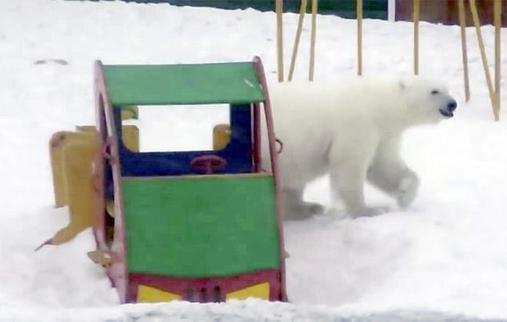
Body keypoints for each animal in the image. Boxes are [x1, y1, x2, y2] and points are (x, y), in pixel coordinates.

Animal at [264, 76, 458, 220]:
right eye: (434, 91)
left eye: (447, 89)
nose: (453, 104)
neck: (379, 105)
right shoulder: (358, 125)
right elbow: (349, 166)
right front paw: (370, 210)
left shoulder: (384, 134)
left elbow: (384, 166)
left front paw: (405, 194)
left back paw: (309, 207)